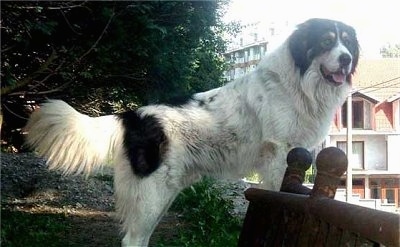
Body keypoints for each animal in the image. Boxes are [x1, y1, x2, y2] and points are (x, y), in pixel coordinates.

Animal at [25, 18, 360, 246]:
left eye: (346, 43)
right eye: (326, 41)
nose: (346, 59)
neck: (301, 83)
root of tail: (132, 115)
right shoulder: (280, 154)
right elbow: (282, 192)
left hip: (161, 194)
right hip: (152, 193)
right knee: (132, 239)